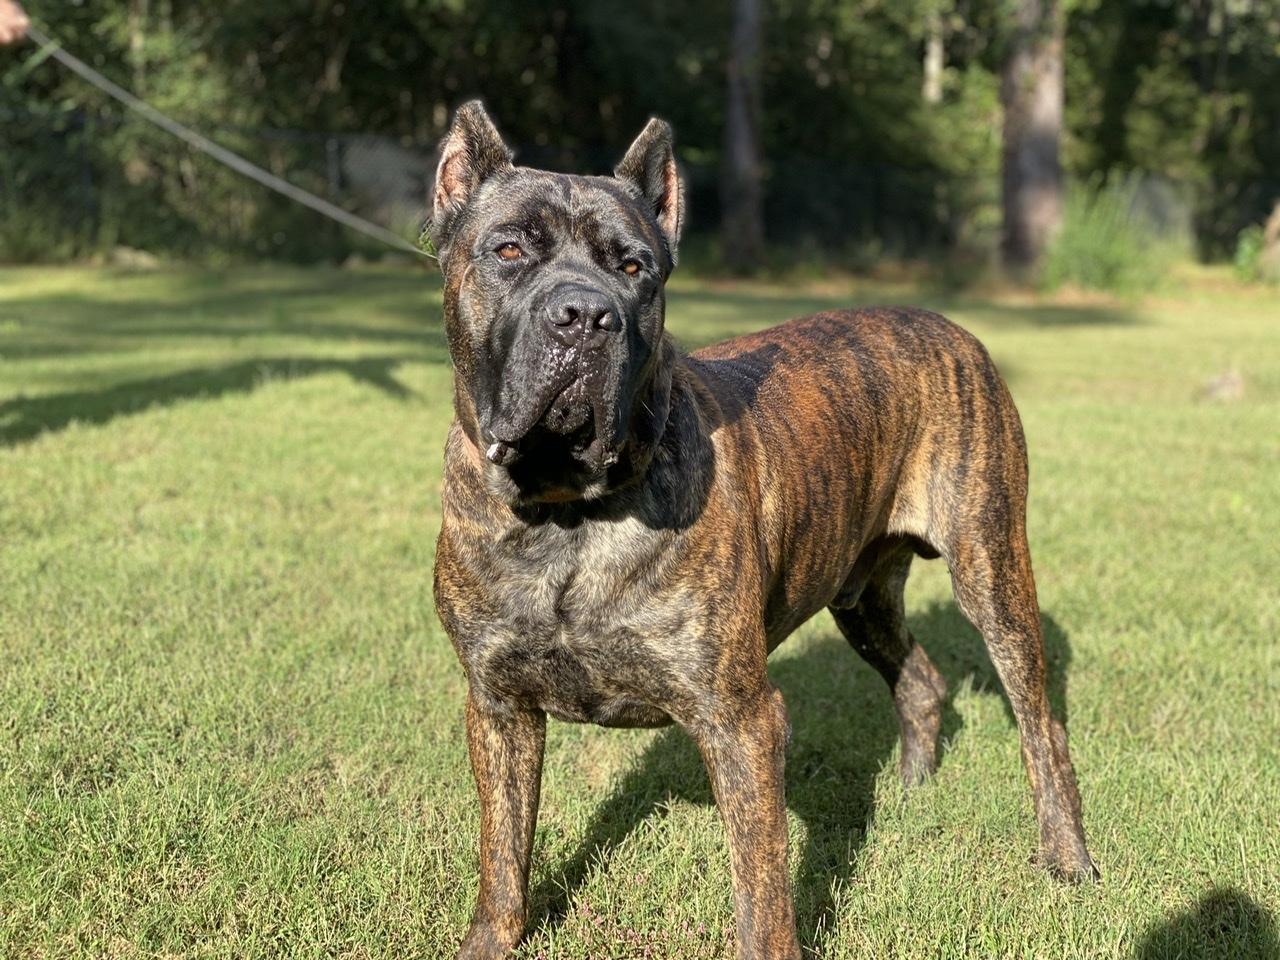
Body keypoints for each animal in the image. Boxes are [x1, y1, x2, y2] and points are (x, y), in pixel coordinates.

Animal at [430, 101, 1098, 960]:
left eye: (634, 267)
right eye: (509, 250)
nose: (585, 316)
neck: (566, 512)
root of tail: (947, 325)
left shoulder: (740, 719)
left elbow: (762, 886)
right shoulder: (499, 707)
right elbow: (504, 852)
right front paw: (493, 937)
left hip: (994, 570)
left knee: (1042, 727)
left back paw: (1067, 855)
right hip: (862, 597)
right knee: (921, 679)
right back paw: (910, 792)